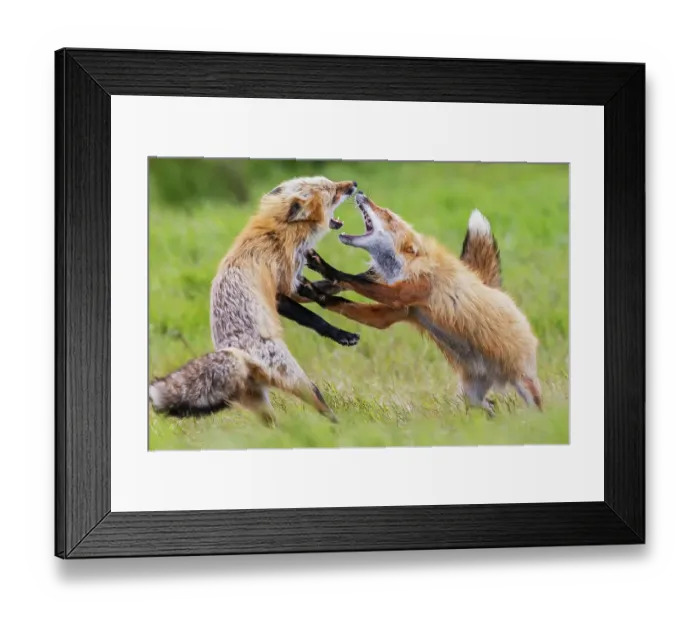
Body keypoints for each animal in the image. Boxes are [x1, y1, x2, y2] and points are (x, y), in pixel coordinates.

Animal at [148, 176, 359, 426]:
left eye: (330, 182)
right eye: (332, 191)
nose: (353, 183)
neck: (281, 231)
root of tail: (240, 357)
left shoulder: (294, 281)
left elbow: (327, 286)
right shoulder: (281, 290)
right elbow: (315, 318)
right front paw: (342, 334)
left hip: (260, 404)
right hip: (296, 378)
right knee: (318, 398)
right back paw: (341, 429)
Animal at [304, 190, 542, 418]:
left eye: (387, 215)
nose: (361, 193)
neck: (408, 265)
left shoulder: (405, 292)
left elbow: (350, 279)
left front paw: (324, 267)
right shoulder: (398, 311)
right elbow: (344, 296)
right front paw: (314, 291)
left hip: (524, 382)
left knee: (535, 406)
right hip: (472, 395)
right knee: (487, 406)